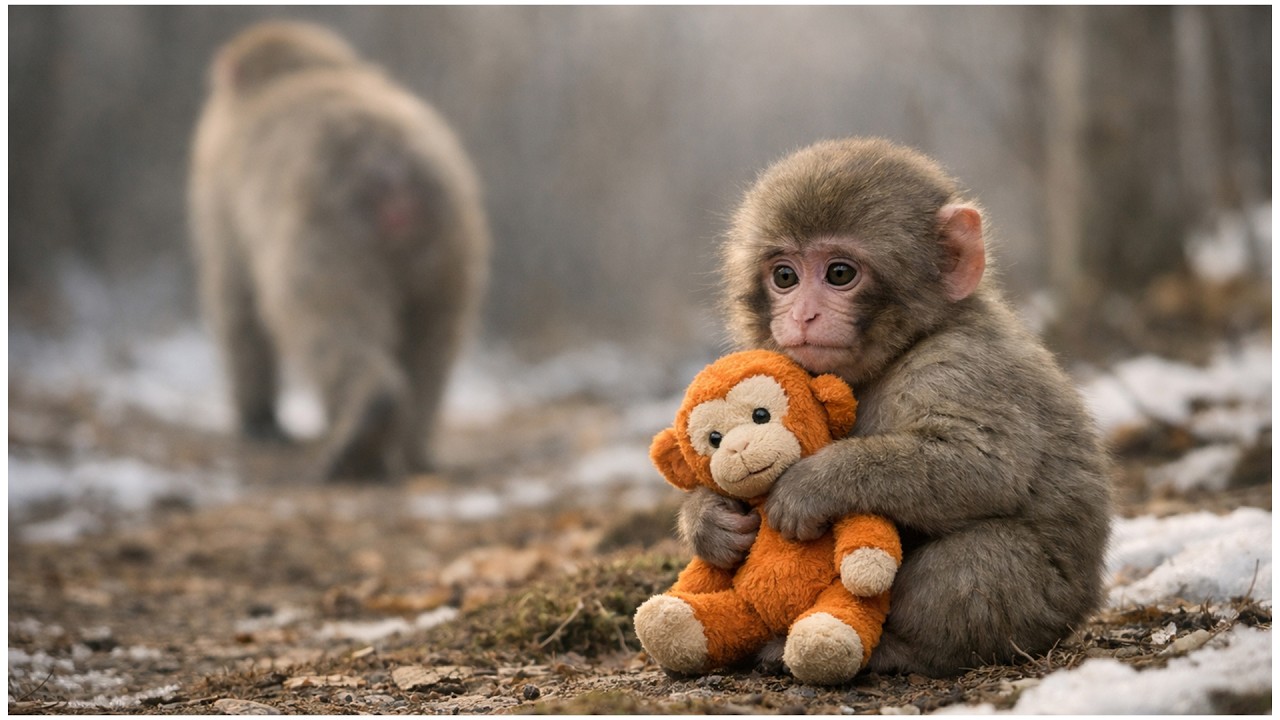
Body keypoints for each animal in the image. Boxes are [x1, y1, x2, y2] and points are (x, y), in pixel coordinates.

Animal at [188, 21, 489, 480]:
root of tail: (396, 166)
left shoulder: (220, 195)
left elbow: (237, 304)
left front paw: (258, 420)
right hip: (451, 239)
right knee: (435, 334)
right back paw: (408, 449)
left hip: (331, 232)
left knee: (322, 314)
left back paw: (366, 426)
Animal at [678, 137, 1112, 677]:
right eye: (784, 276)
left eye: (839, 273)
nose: (803, 315)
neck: (899, 350)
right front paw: (707, 520)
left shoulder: (960, 365)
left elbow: (982, 467)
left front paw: (812, 485)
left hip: (1046, 606)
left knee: (973, 558)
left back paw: (893, 651)